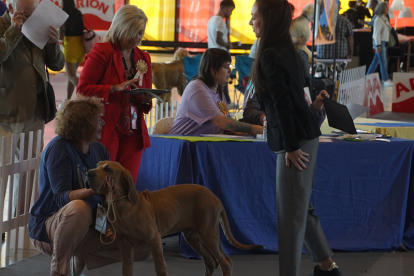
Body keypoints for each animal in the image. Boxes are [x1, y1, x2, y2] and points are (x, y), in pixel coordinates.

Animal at [86, 161, 264, 276]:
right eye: (97, 165)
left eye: (108, 169)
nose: (88, 173)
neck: (123, 206)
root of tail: (215, 197)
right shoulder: (125, 245)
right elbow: (127, 270)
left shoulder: (154, 239)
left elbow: (160, 268)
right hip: (193, 236)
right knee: (212, 261)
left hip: (208, 233)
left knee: (224, 263)